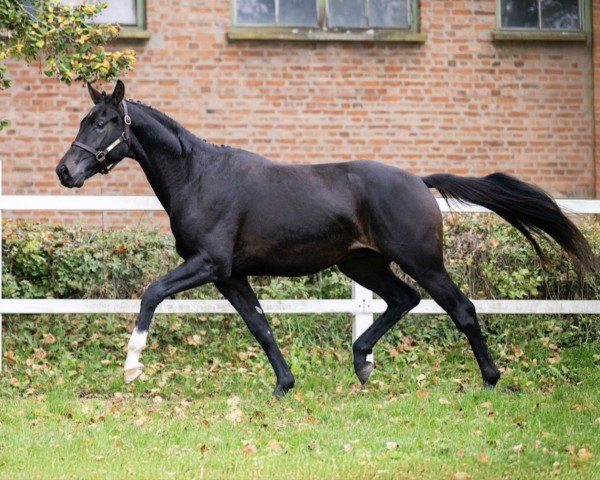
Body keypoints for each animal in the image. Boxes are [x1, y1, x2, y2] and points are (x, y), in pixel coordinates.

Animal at [56, 82, 596, 396]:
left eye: (102, 122)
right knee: (404, 300)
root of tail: (418, 181)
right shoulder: (230, 276)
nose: (66, 171)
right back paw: (363, 365)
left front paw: (132, 366)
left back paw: (491, 379)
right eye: (84, 120)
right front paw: (285, 385)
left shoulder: (208, 264)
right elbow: (261, 326)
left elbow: (151, 294)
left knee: (460, 309)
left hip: (421, 260)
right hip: (362, 264)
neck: (199, 177)